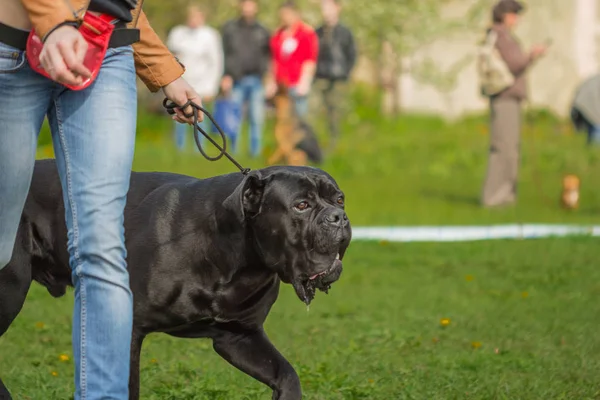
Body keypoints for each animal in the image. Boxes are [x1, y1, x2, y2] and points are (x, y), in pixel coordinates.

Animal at [0, 159, 352, 400]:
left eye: (339, 199)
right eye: (301, 205)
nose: (339, 218)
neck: (235, 256)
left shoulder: (239, 337)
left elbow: (286, 374)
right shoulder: (130, 329)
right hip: (10, 289)